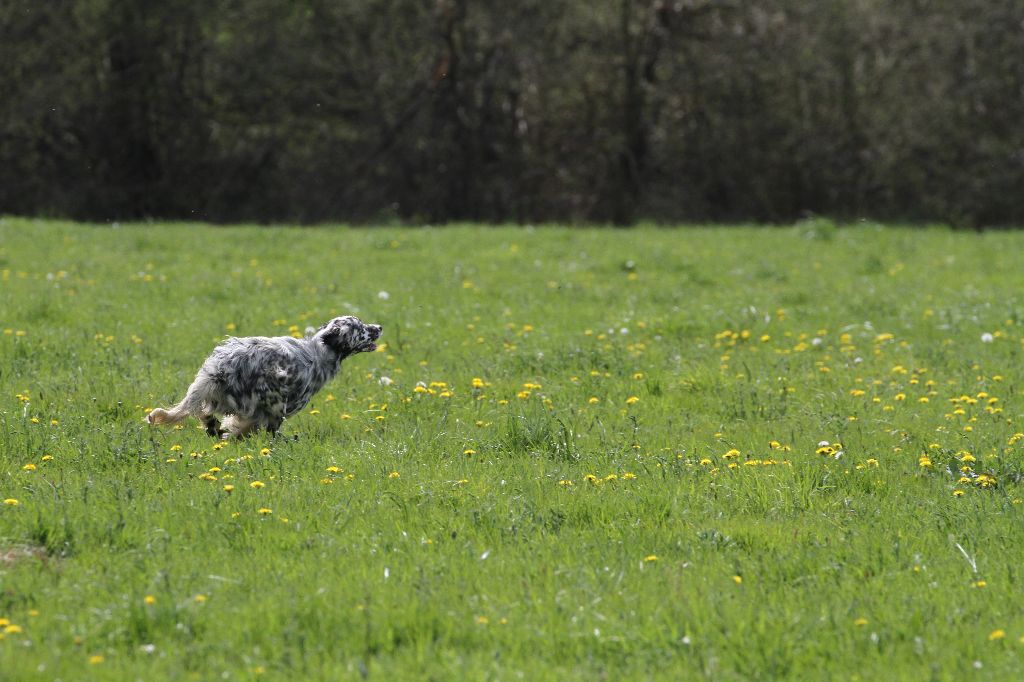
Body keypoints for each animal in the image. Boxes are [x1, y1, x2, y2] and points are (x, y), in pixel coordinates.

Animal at [146, 313, 382, 436]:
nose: (379, 326)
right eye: (360, 328)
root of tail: (222, 366)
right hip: (275, 405)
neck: (319, 350)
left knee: (207, 418)